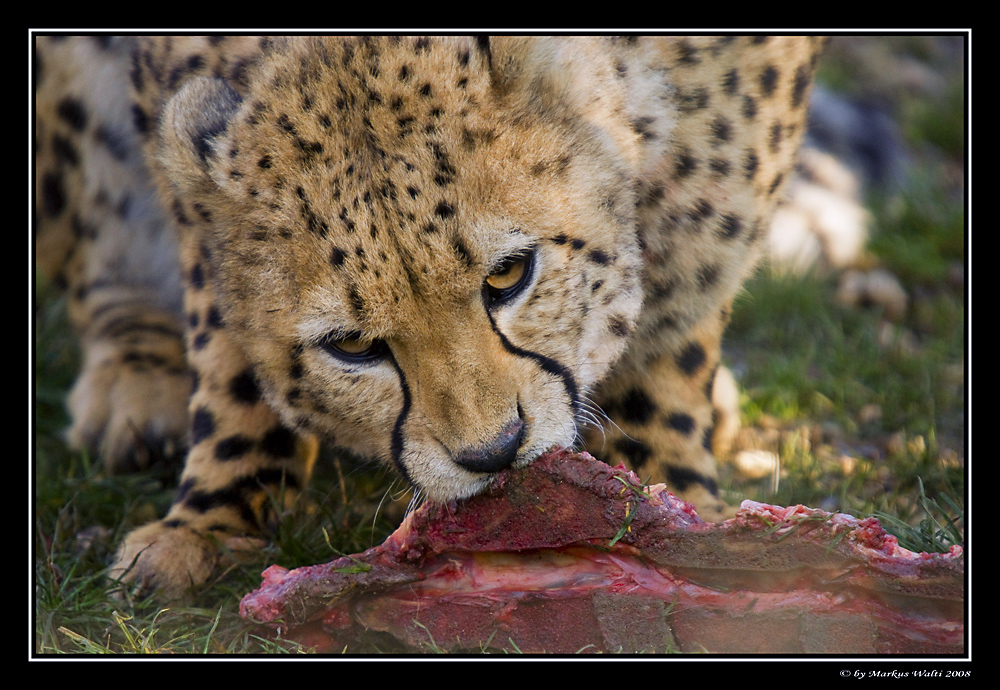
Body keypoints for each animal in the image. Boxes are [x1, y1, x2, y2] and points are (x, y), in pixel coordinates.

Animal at [33, 33, 828, 596]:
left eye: (509, 274)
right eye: (352, 346)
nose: (494, 452)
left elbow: (674, 326)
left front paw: (674, 505)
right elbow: (223, 329)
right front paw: (210, 520)